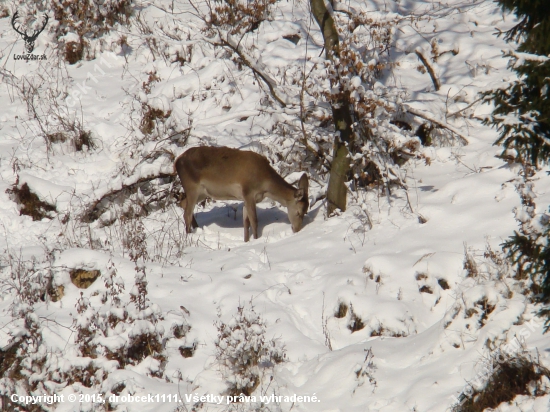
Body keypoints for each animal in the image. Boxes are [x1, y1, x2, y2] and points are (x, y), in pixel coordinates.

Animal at [175, 146, 308, 241]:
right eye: (298, 212)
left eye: (305, 211)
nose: (297, 229)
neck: (264, 184)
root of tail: (176, 162)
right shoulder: (248, 192)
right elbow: (254, 221)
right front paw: (256, 239)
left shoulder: (245, 198)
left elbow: (246, 222)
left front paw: (246, 241)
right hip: (192, 187)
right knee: (186, 213)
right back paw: (189, 237)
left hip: (202, 192)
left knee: (183, 204)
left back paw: (197, 228)